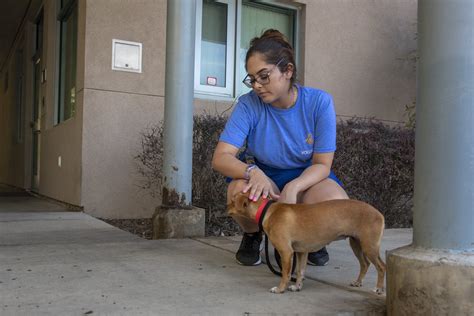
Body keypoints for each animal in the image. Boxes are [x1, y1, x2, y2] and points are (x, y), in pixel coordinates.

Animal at [228, 191, 386, 296]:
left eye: (233, 200)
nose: (226, 206)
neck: (267, 211)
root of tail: (379, 213)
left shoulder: (286, 252)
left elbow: (285, 274)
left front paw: (280, 289)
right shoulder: (301, 252)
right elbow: (300, 271)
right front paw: (297, 286)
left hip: (369, 247)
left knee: (381, 267)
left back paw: (378, 288)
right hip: (357, 244)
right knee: (365, 264)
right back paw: (358, 282)